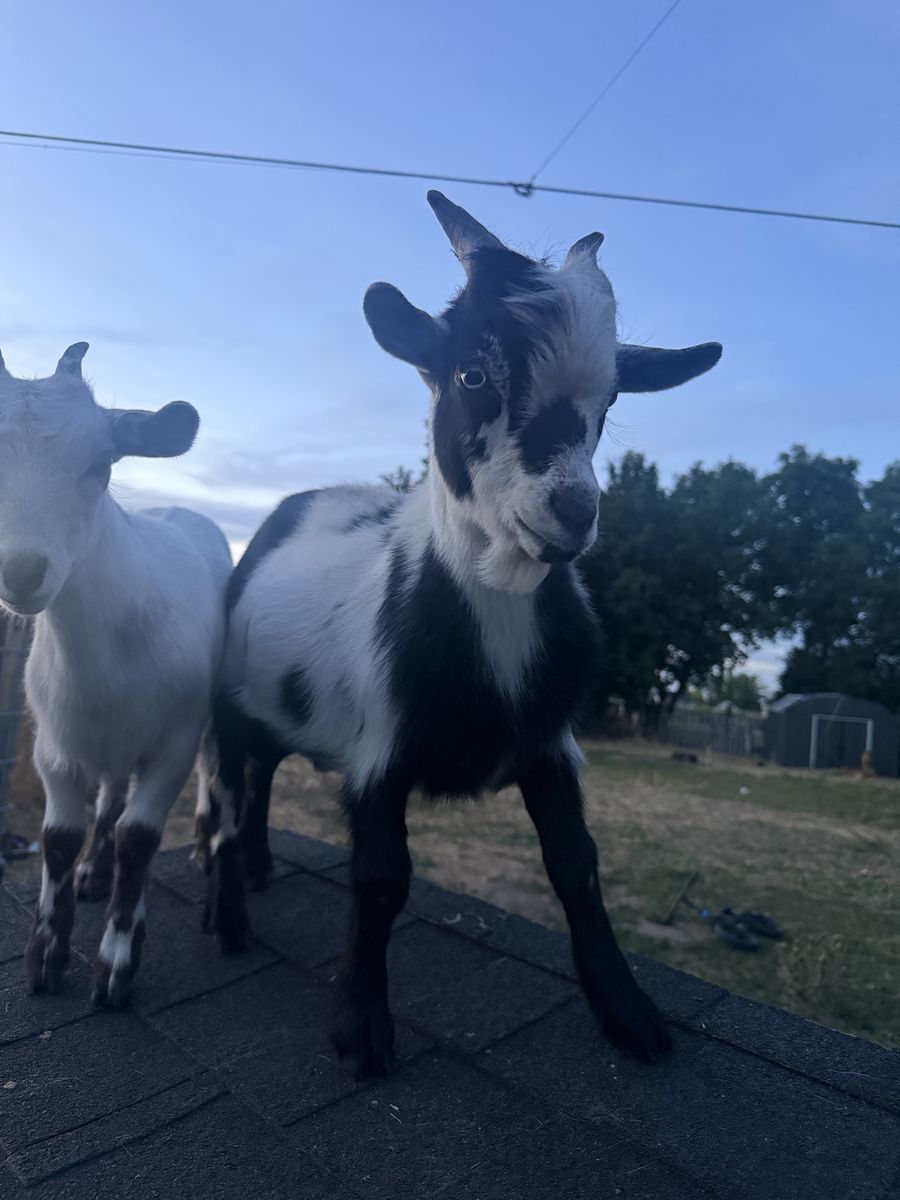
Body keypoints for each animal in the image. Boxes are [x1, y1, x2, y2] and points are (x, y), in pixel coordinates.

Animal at [0, 343, 231, 1007]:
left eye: (103, 462)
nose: (21, 572)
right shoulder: (53, 746)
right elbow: (59, 837)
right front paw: (46, 957)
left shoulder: (172, 745)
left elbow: (141, 839)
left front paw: (117, 963)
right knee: (109, 795)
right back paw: (94, 874)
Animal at [201, 193, 722, 1077]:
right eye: (472, 374)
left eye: (613, 399)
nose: (571, 512)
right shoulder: (379, 747)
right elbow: (381, 876)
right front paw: (360, 1027)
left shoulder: (551, 744)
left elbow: (576, 865)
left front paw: (629, 1013)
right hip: (229, 705)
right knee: (227, 801)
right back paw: (228, 918)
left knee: (263, 777)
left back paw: (262, 872)